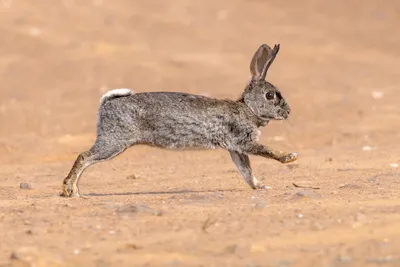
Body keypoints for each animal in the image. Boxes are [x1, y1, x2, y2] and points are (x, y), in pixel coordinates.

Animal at [61, 43, 296, 199]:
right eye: (270, 96)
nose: (288, 112)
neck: (248, 108)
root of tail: (106, 105)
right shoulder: (244, 141)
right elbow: (267, 152)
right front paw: (289, 157)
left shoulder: (236, 149)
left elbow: (246, 172)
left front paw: (261, 186)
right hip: (114, 142)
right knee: (84, 157)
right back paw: (71, 191)